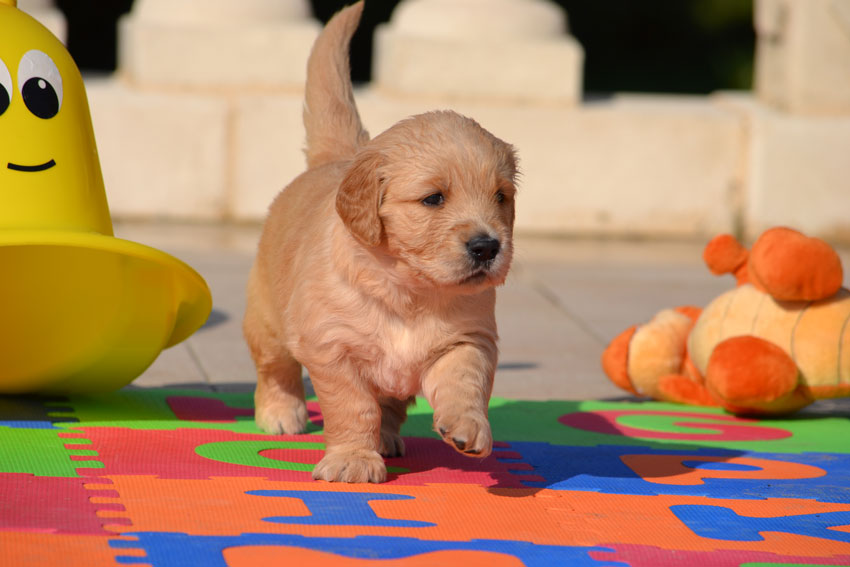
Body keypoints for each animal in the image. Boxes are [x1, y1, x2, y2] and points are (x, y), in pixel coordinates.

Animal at [242, 2, 512, 486]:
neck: (409, 290)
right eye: (433, 199)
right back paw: (281, 414)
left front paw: (468, 427)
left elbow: (465, 382)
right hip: (267, 320)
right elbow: (353, 407)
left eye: (501, 197)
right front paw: (353, 458)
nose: (487, 247)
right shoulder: (331, 348)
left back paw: (388, 438)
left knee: (391, 404)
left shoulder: (469, 339)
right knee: (275, 369)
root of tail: (340, 156)